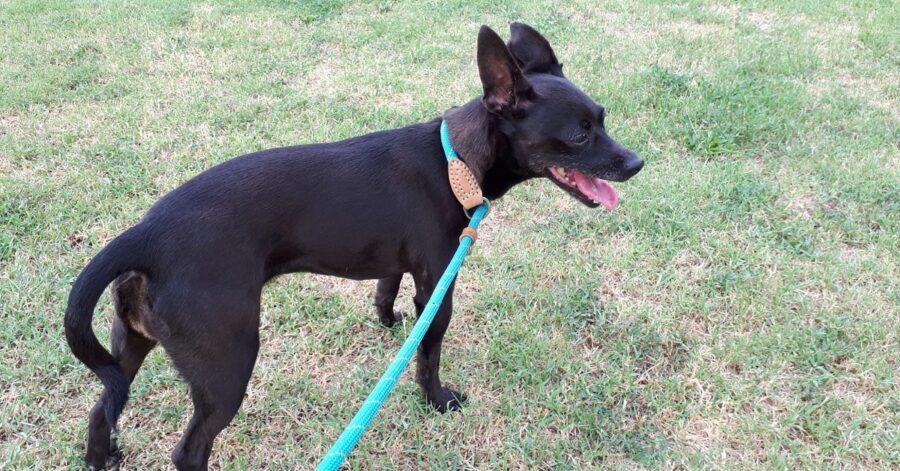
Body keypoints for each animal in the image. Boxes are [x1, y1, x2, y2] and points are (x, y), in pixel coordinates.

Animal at [67, 24, 644, 470]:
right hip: (226, 364)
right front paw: (437, 400)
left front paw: (388, 323)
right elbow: (429, 352)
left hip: (129, 344)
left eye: (604, 116)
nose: (637, 163)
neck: (454, 160)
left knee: (101, 409)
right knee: (188, 451)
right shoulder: (438, 287)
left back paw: (101, 457)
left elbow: (384, 292)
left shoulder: (398, 264)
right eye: (579, 134)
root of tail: (146, 234)